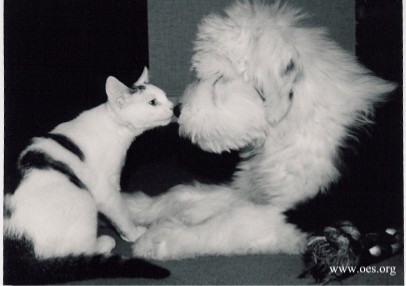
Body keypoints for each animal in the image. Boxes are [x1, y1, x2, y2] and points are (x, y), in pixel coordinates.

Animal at [3, 67, 174, 284]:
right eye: (153, 102)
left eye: (165, 96)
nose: (174, 107)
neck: (114, 126)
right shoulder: (106, 190)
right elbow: (121, 213)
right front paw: (133, 233)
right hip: (84, 199)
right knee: (80, 250)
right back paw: (104, 242)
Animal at [124, 0, 396, 260]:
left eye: (220, 78)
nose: (178, 111)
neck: (291, 127)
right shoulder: (253, 189)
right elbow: (184, 194)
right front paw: (136, 207)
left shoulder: (303, 214)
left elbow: (231, 222)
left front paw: (160, 238)